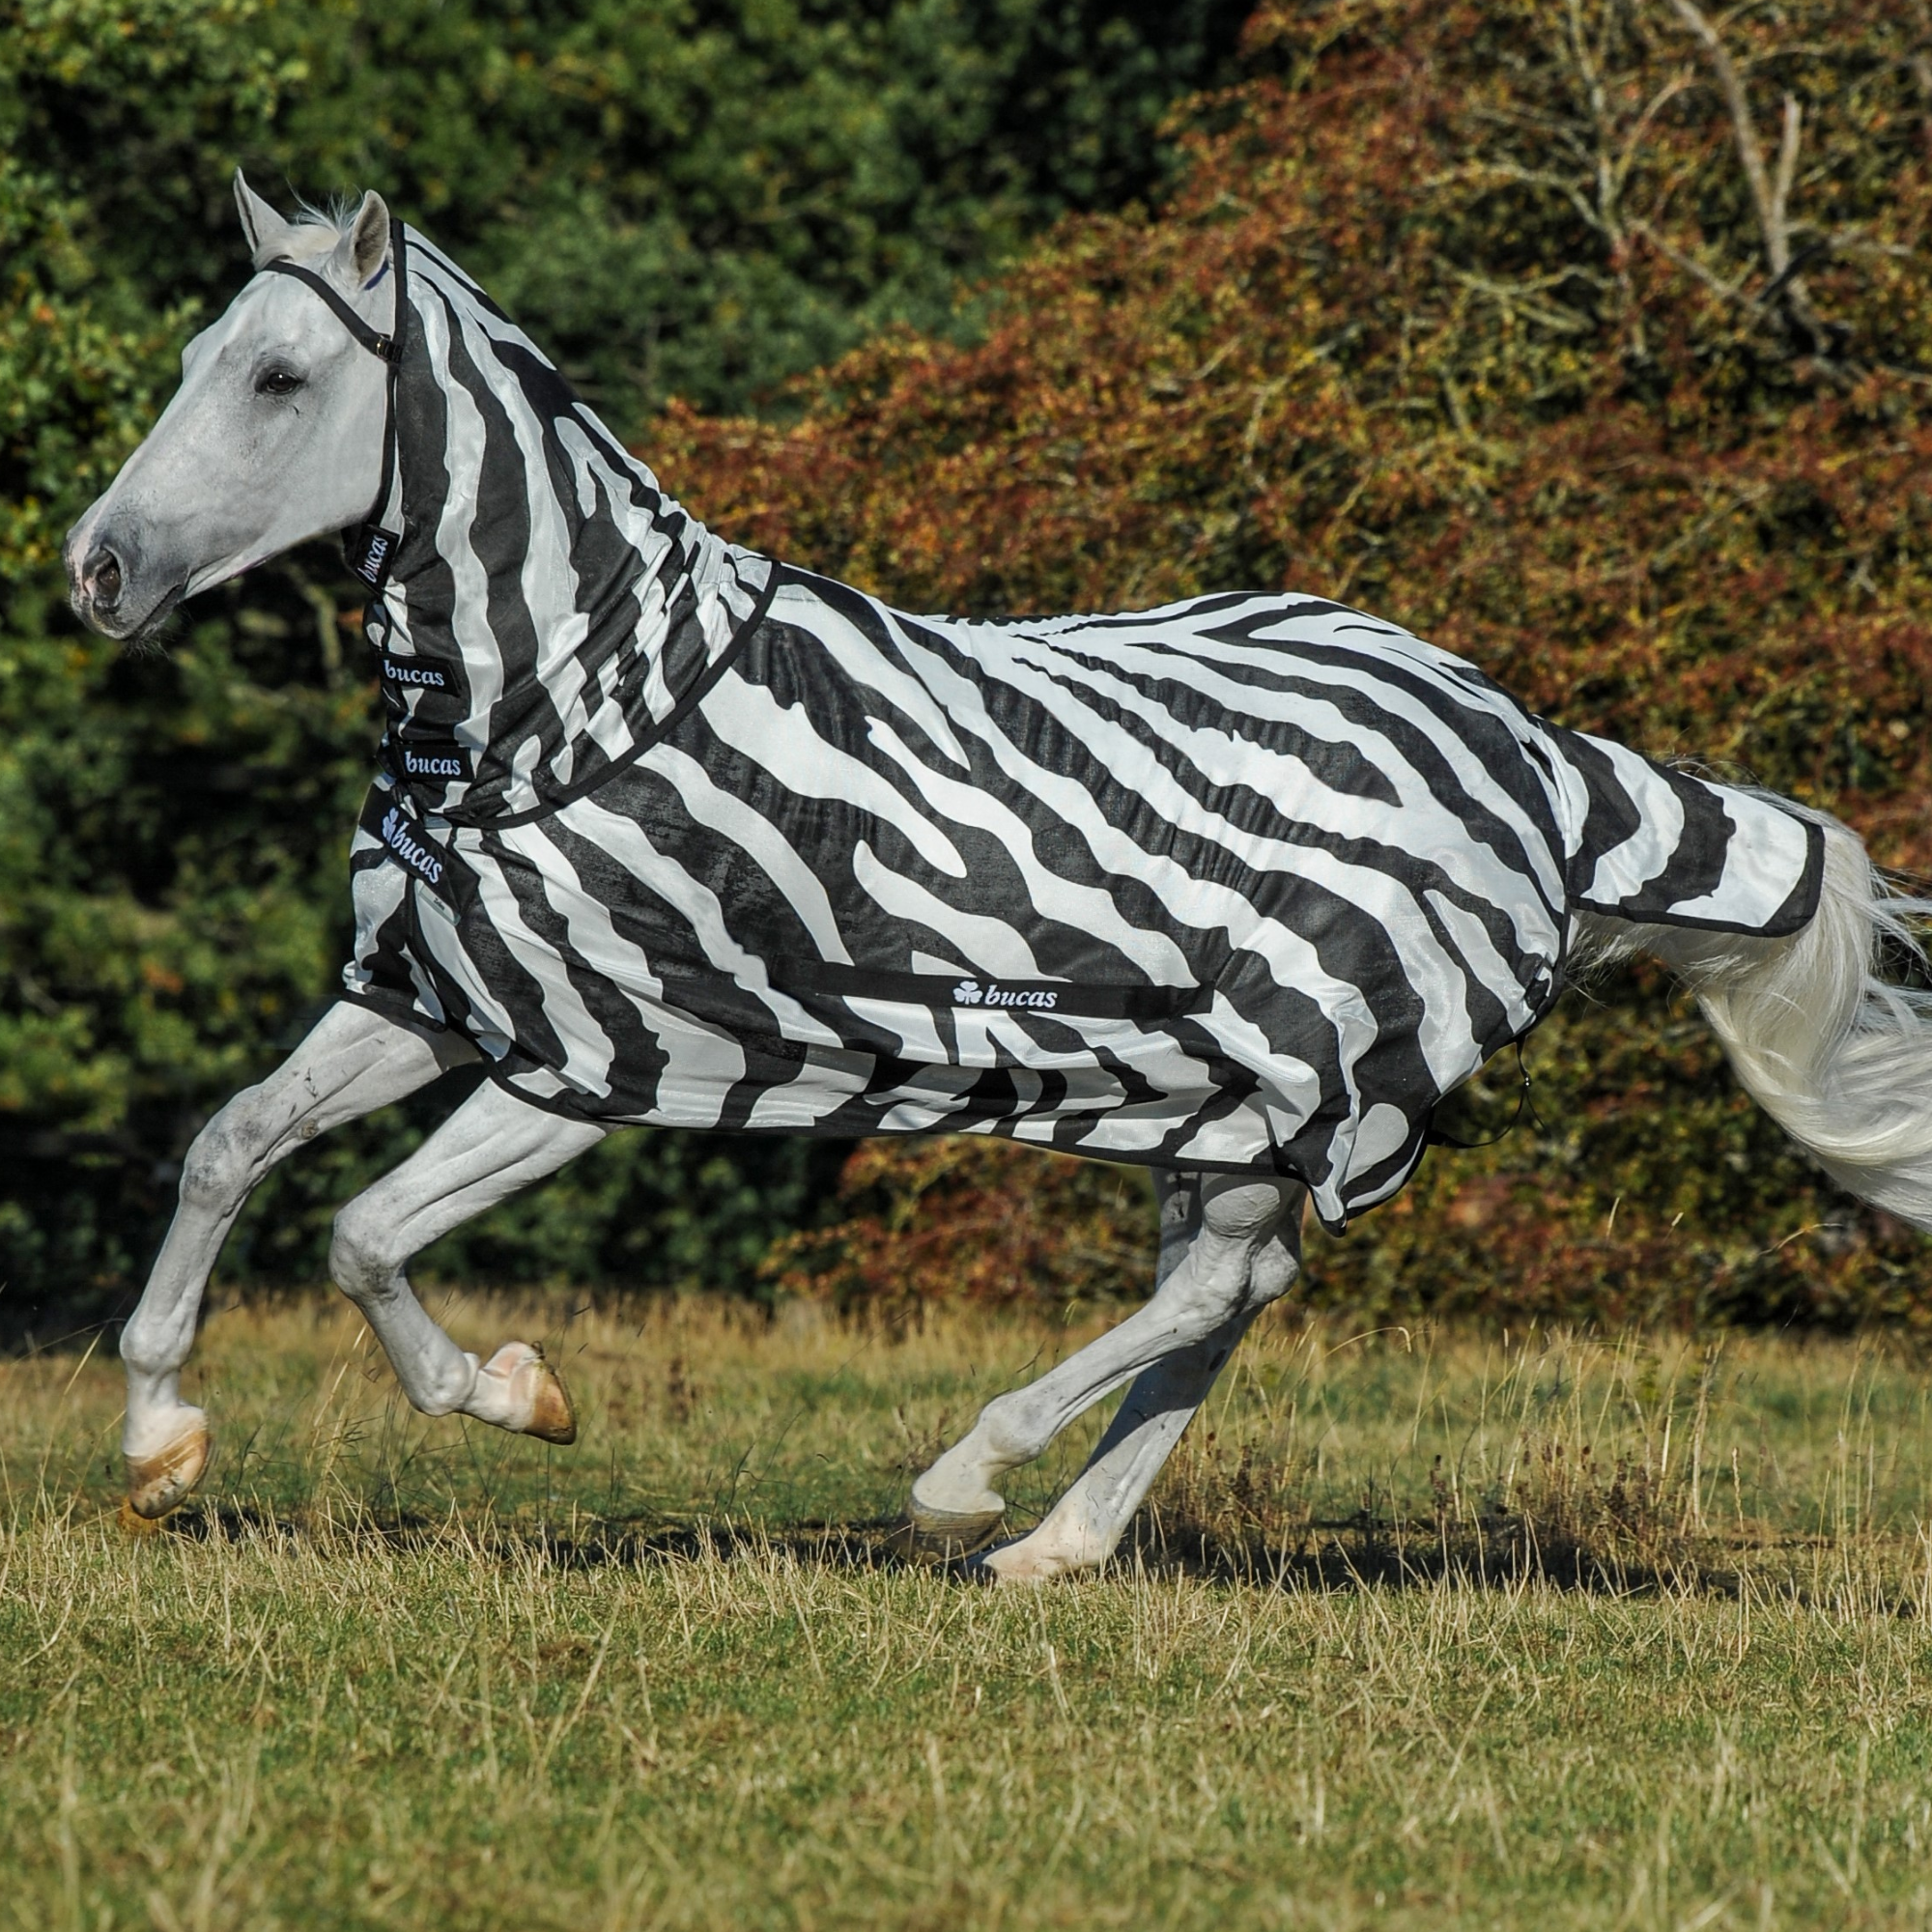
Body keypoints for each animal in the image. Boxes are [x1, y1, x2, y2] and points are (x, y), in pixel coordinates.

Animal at [61, 177, 1932, 1581]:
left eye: (280, 380)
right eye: (198, 352)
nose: (96, 571)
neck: (569, 700)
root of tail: (1537, 751)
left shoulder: (606, 1055)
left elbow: (365, 1234)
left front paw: (521, 1396)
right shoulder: (432, 999)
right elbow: (230, 1147)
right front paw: (160, 1444)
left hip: (1307, 1070)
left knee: (1219, 1286)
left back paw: (968, 1482)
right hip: (1223, 1097)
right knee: (1229, 1291)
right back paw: (1053, 1548)